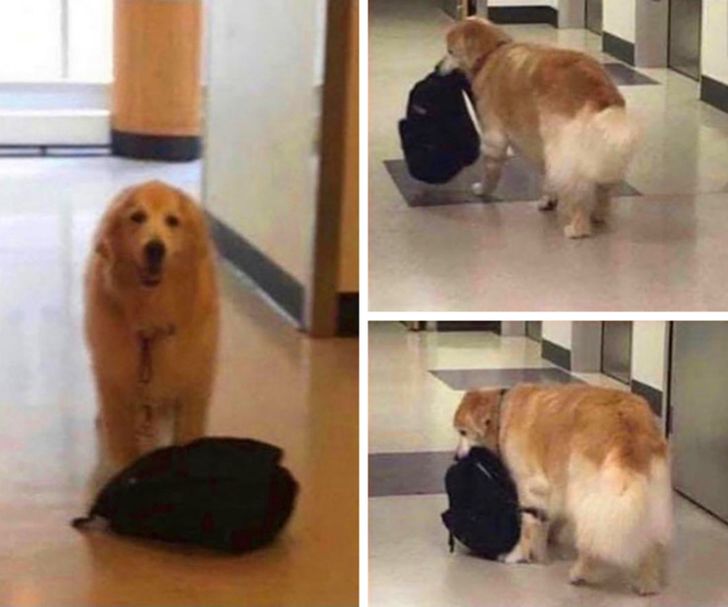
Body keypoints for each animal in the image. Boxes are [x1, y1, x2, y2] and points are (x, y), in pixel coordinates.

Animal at [85, 180, 219, 480]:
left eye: (173, 221)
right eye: (137, 217)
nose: (155, 248)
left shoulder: (193, 387)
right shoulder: (116, 387)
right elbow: (124, 450)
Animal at [438, 17, 636, 239]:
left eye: (450, 51)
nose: (436, 68)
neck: (492, 53)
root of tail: (599, 92)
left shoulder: (494, 137)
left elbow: (491, 171)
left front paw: (483, 190)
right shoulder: (542, 147)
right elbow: (547, 176)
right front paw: (548, 199)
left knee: (578, 190)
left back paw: (578, 228)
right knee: (603, 190)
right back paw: (598, 215)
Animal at [456, 384, 672, 592]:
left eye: (462, 432)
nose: (456, 457)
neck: (502, 413)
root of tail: (625, 426)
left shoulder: (530, 486)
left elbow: (527, 527)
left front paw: (519, 555)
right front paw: (547, 540)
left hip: (586, 491)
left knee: (592, 538)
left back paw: (581, 572)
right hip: (647, 496)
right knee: (649, 542)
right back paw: (647, 583)